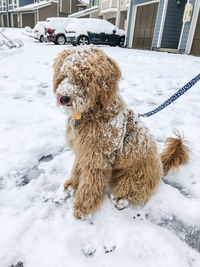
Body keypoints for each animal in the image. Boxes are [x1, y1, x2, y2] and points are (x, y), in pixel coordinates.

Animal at [52, 44, 189, 220]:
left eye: (85, 79)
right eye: (65, 74)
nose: (63, 98)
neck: (94, 112)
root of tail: (160, 166)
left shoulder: (97, 158)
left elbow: (90, 184)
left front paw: (83, 207)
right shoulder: (82, 151)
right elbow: (77, 169)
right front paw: (70, 186)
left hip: (131, 179)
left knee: (132, 193)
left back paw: (120, 201)